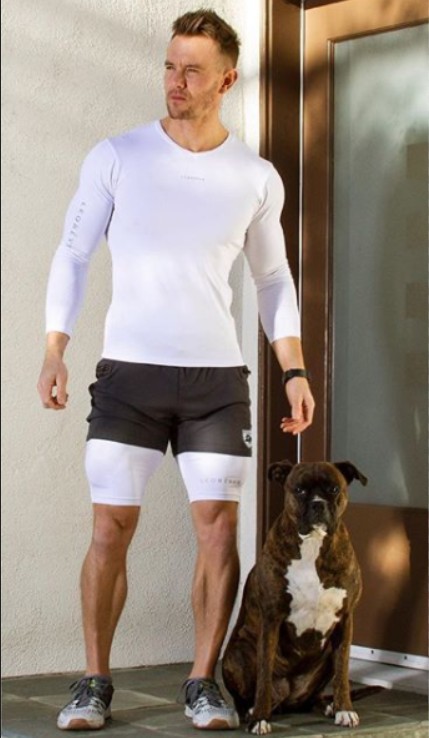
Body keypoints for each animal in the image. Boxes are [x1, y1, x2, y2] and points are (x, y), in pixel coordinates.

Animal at [222, 460, 368, 734]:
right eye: (299, 490)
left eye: (333, 488)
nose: (318, 504)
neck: (312, 545)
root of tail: (288, 700)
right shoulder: (271, 619)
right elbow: (264, 674)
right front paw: (260, 718)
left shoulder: (345, 620)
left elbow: (343, 673)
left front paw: (344, 709)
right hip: (236, 654)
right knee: (247, 694)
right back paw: (250, 711)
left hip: (326, 656)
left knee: (315, 697)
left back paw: (329, 706)